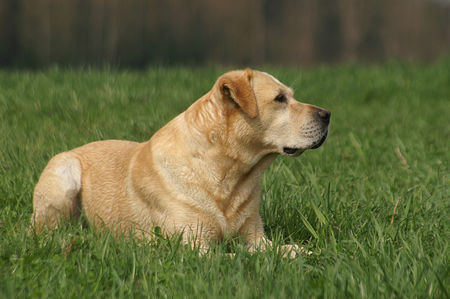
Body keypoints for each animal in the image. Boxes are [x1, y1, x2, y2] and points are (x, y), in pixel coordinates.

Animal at [30, 69, 326, 256]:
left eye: (290, 95)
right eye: (280, 99)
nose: (327, 114)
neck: (227, 176)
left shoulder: (256, 237)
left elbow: (289, 250)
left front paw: (307, 253)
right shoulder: (193, 247)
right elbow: (240, 257)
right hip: (64, 177)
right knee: (44, 232)